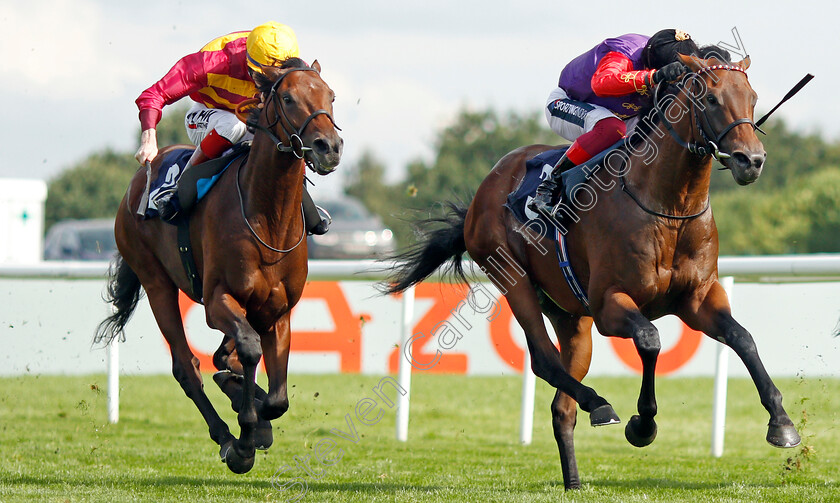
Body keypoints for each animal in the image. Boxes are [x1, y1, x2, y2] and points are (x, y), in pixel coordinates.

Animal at [99, 60, 344, 476]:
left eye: (331, 96)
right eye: (288, 98)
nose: (329, 146)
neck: (268, 220)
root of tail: (139, 179)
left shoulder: (278, 310)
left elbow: (277, 398)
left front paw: (256, 413)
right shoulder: (218, 300)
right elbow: (247, 351)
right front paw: (245, 436)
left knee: (220, 359)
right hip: (156, 281)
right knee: (187, 366)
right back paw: (227, 437)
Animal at [388, 54, 800, 488]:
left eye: (752, 98)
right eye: (710, 99)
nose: (751, 161)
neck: (669, 206)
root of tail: (485, 189)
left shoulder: (698, 298)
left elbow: (743, 338)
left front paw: (781, 423)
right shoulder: (609, 304)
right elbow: (650, 340)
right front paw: (643, 424)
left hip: (570, 315)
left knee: (561, 406)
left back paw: (574, 477)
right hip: (513, 279)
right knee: (543, 359)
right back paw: (599, 403)